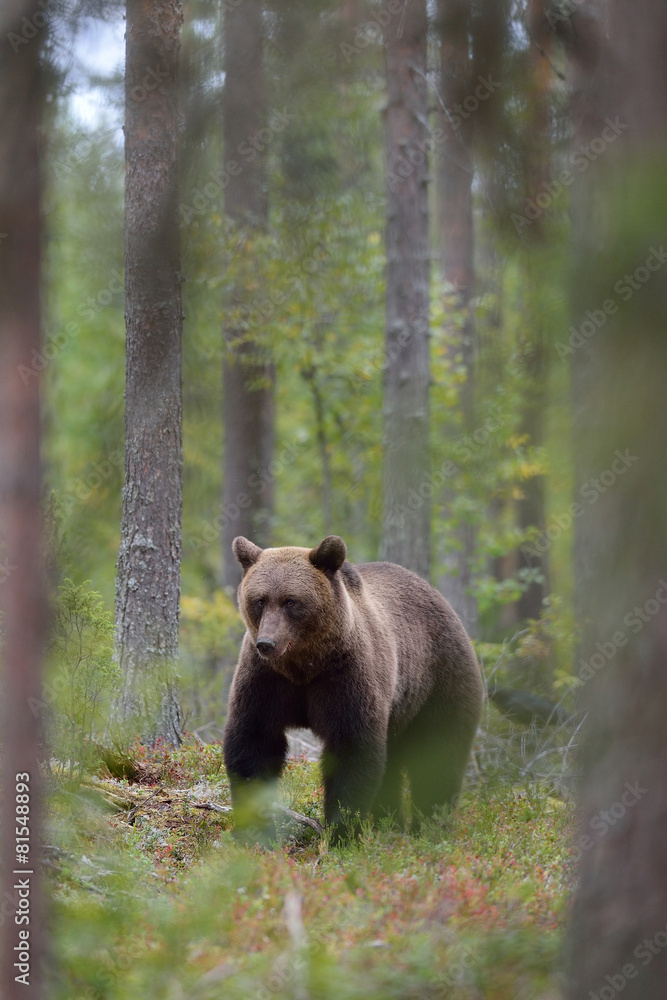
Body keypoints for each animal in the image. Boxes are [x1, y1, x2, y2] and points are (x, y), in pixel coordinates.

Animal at [223, 535, 484, 844]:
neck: (303, 666)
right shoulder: (266, 679)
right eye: (260, 600)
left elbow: (351, 747)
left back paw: (430, 825)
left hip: (440, 682)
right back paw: (390, 822)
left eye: (291, 601)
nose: (267, 643)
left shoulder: (344, 675)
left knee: (440, 754)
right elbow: (254, 741)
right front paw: (255, 830)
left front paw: (341, 830)